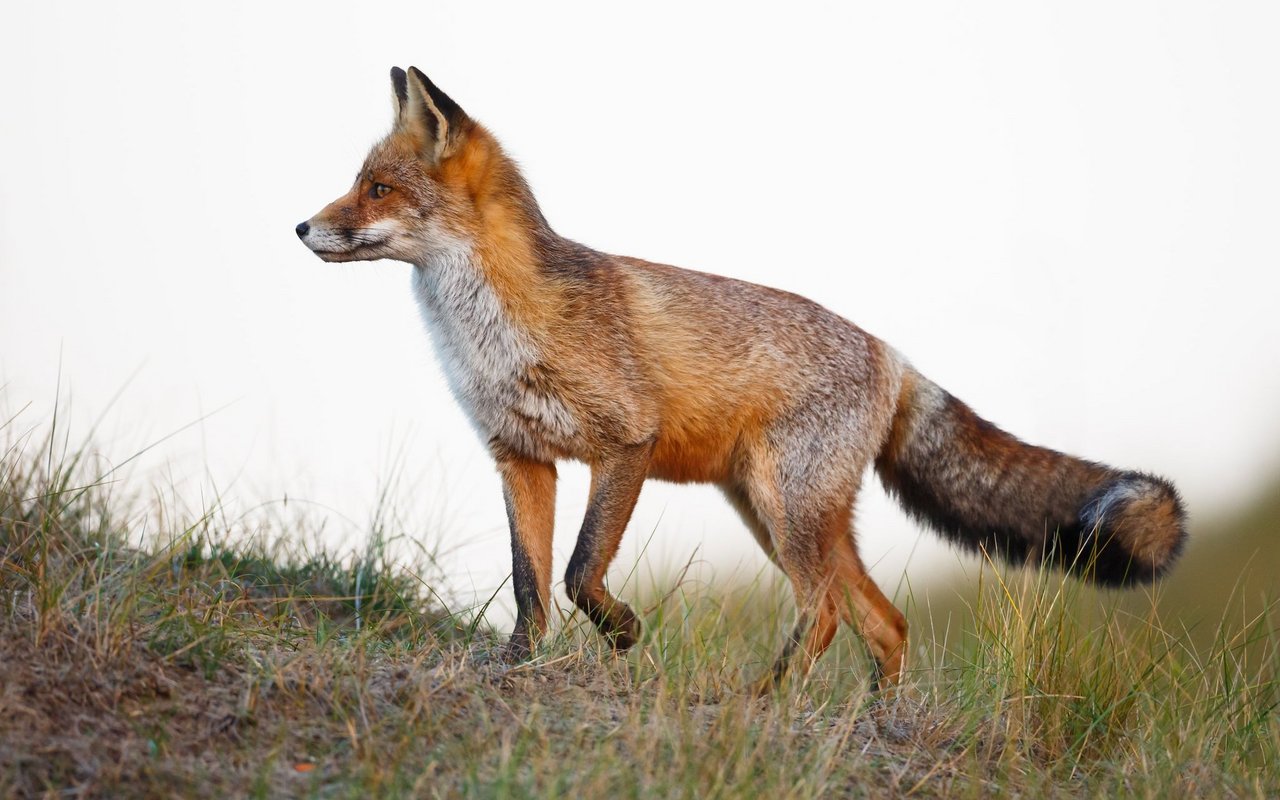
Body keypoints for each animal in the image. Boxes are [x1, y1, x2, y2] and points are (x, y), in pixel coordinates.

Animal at [294, 67, 1182, 691]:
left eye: (377, 189)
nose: (300, 226)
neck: (497, 328)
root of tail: (892, 354)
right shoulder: (521, 456)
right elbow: (529, 586)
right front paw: (515, 667)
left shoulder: (627, 443)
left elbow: (579, 571)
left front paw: (623, 633)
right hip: (778, 514)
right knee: (885, 623)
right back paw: (866, 724)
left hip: (786, 512)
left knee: (827, 613)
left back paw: (764, 704)